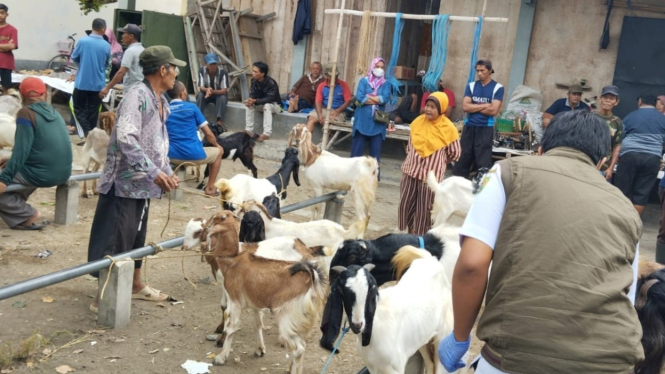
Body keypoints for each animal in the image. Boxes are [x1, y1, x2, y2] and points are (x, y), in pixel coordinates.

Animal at [320, 247, 454, 372]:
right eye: (342, 290)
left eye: (370, 289)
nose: (357, 325)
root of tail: (429, 258)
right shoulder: (373, 368)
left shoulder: (396, 368)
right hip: (422, 338)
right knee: (430, 364)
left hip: (442, 335)